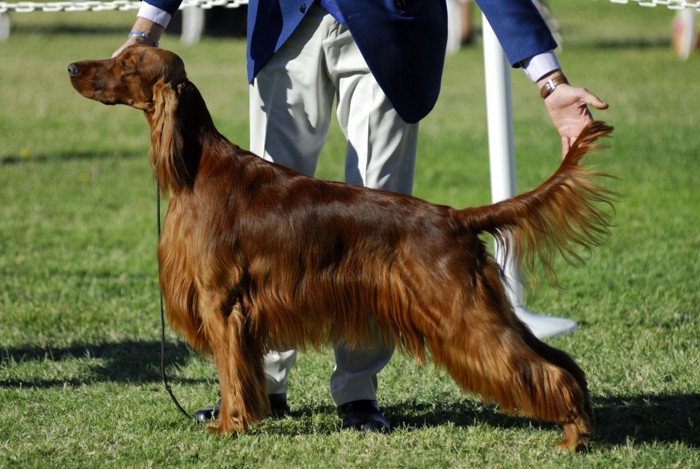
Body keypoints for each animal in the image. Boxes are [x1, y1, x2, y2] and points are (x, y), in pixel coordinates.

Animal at [67, 46, 612, 450]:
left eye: (126, 63)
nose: (72, 68)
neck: (196, 168)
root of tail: (453, 217)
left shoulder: (222, 304)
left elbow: (229, 375)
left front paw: (228, 426)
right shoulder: (239, 313)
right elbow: (243, 373)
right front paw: (245, 418)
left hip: (463, 314)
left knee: (542, 369)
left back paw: (572, 436)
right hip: (485, 307)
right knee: (560, 360)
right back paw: (582, 424)